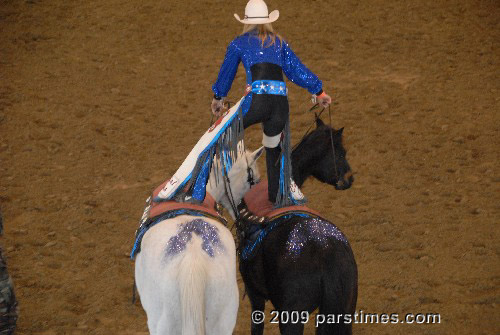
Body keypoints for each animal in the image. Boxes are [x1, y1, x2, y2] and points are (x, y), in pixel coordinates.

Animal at [237, 118, 356, 335]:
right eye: (342, 152)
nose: (349, 179)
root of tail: (326, 255)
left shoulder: (254, 293)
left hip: (292, 317)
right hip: (343, 313)